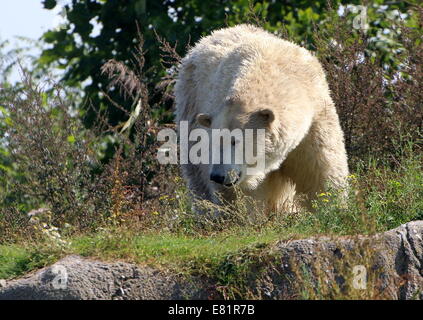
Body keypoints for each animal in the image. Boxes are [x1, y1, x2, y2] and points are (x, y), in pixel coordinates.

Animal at [174, 25, 350, 212]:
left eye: (235, 141)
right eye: (214, 141)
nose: (218, 176)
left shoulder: (316, 117)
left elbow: (321, 170)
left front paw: (332, 209)